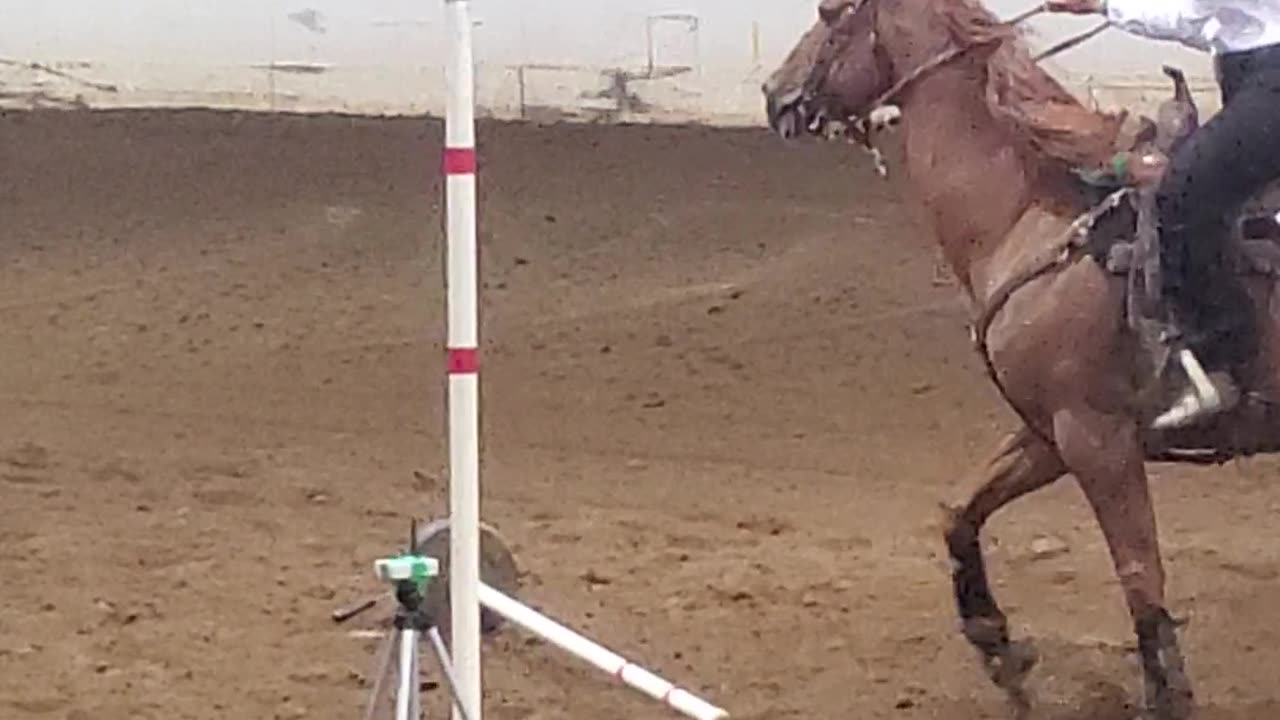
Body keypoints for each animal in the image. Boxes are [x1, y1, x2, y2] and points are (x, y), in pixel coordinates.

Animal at [762, 1, 1280, 717]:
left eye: (829, 12)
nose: (774, 94)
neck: (1029, 219)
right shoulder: (1049, 433)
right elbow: (960, 511)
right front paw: (997, 644)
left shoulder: (1096, 437)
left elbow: (1140, 575)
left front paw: (1167, 696)